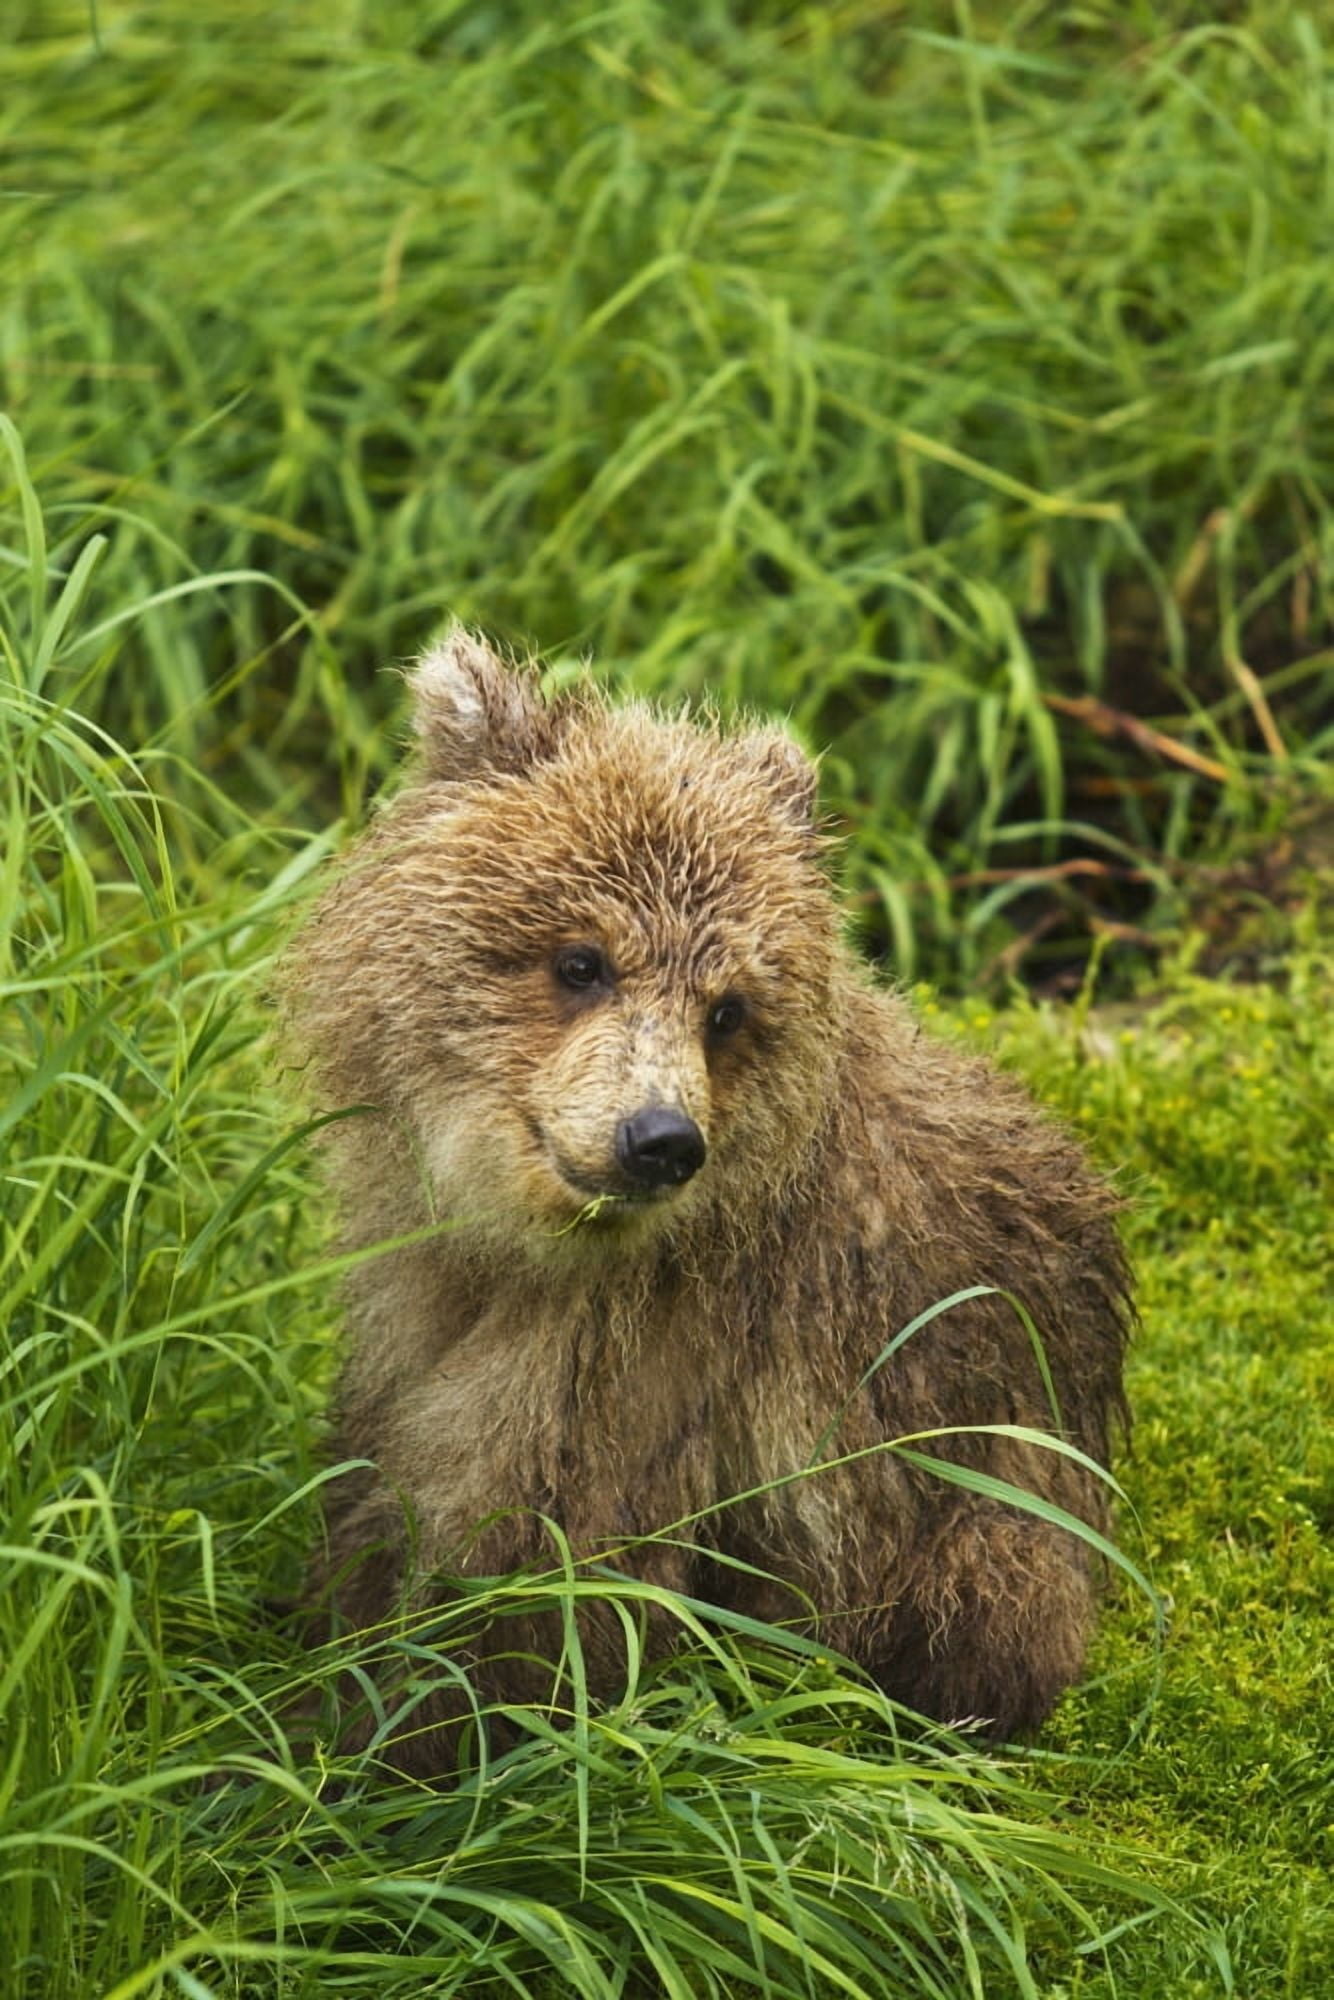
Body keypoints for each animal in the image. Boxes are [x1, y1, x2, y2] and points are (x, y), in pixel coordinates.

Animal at [281, 627, 1131, 1771]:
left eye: (727, 1009)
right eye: (581, 959)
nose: (659, 1141)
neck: (534, 1245)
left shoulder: (652, 1363)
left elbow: (515, 1568)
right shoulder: (420, 1287)